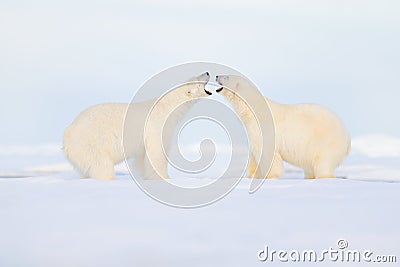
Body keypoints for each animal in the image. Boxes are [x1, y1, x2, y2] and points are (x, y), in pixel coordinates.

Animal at [62, 71, 211, 180]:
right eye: (197, 79)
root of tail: (68, 132)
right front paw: (164, 177)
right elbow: (157, 152)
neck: (167, 107)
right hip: (92, 143)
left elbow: (142, 157)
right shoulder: (156, 126)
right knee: (101, 165)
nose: (207, 72)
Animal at [216, 75, 350, 180]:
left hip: (326, 142)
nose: (217, 76)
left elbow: (268, 153)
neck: (253, 110)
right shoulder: (252, 131)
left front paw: (271, 176)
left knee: (323, 162)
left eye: (226, 76)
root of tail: (346, 134)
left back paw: (324, 176)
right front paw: (251, 175)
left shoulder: (264, 129)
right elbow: (254, 154)